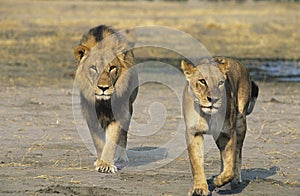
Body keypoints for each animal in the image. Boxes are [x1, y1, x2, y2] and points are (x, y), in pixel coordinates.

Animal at [74, 24, 138, 173]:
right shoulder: (91, 115)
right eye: (93, 68)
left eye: (112, 68)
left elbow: (112, 140)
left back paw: (122, 157)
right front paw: (100, 161)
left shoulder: (119, 113)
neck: (103, 103)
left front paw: (107, 164)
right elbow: (98, 142)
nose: (103, 88)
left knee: (124, 135)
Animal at [182, 56, 258, 194]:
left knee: (237, 153)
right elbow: (196, 162)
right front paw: (200, 188)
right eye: (202, 81)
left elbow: (230, 164)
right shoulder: (193, 132)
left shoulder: (228, 132)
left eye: (221, 83)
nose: (214, 99)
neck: (208, 115)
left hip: (240, 122)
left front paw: (218, 180)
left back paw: (235, 179)